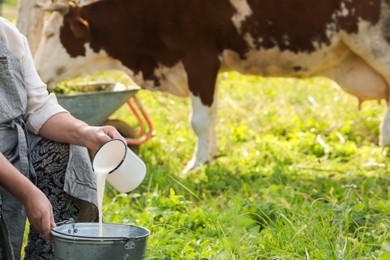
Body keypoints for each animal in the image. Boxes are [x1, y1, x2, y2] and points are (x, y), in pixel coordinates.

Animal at [34, 0, 390, 175]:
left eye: (51, 34)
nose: (35, 71)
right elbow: (214, 112)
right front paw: (211, 156)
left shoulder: (200, 58)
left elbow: (200, 119)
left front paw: (196, 164)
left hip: (375, 43)